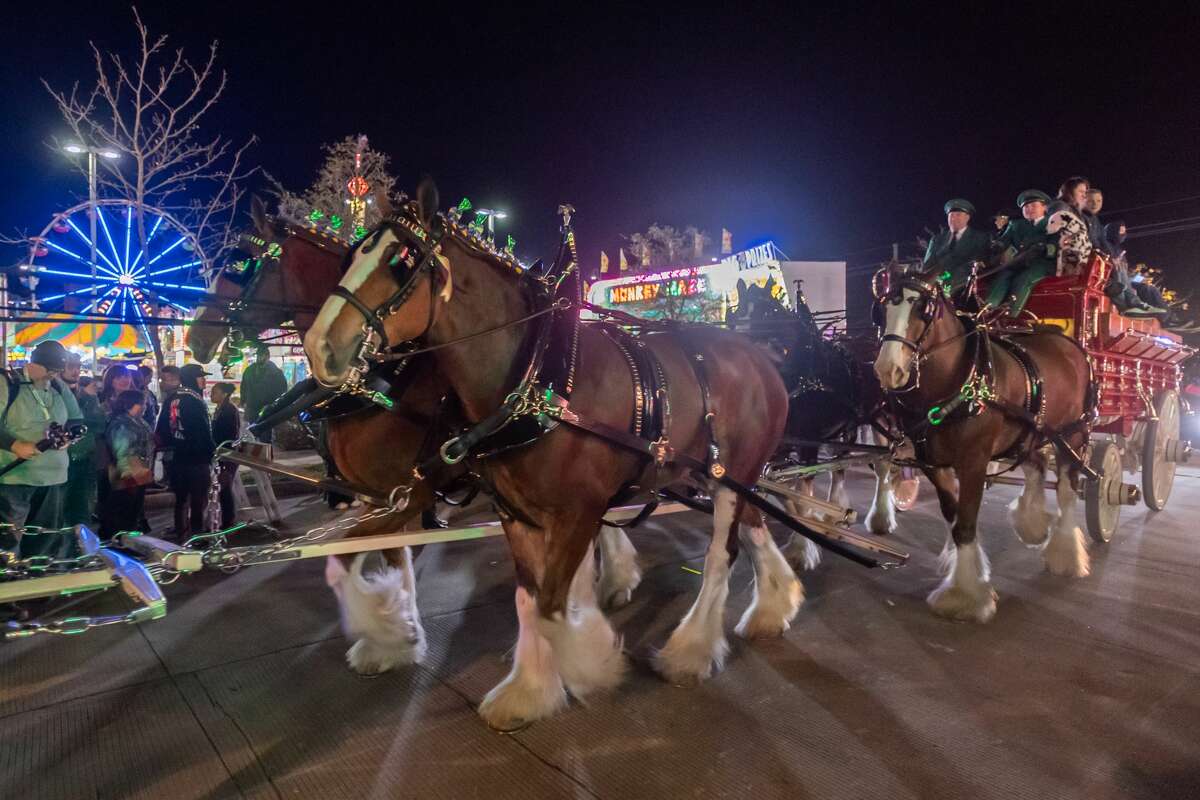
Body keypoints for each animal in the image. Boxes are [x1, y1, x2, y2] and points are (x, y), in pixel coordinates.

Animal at [186, 199, 643, 671]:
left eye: (240, 264)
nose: (196, 337)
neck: (384, 381)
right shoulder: (379, 497)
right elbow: (391, 559)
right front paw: (398, 635)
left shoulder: (411, 493)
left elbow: (351, 556)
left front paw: (391, 631)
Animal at [304, 181, 796, 734]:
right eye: (349, 255)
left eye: (399, 261)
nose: (319, 347)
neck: (539, 376)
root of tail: (761, 357)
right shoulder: (505, 511)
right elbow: (526, 598)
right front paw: (526, 690)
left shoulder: (573, 510)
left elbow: (550, 606)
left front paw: (592, 662)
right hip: (729, 480)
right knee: (754, 528)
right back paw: (775, 605)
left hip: (730, 477)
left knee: (720, 554)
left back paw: (689, 651)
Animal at [878, 263, 1094, 623]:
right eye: (883, 307)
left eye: (923, 309)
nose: (887, 369)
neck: (962, 382)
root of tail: (1071, 344)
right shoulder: (932, 462)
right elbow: (954, 516)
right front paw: (970, 571)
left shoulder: (974, 462)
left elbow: (965, 524)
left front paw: (964, 596)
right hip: (1030, 433)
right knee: (1037, 465)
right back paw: (1032, 523)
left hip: (1070, 435)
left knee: (1067, 488)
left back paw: (1065, 553)